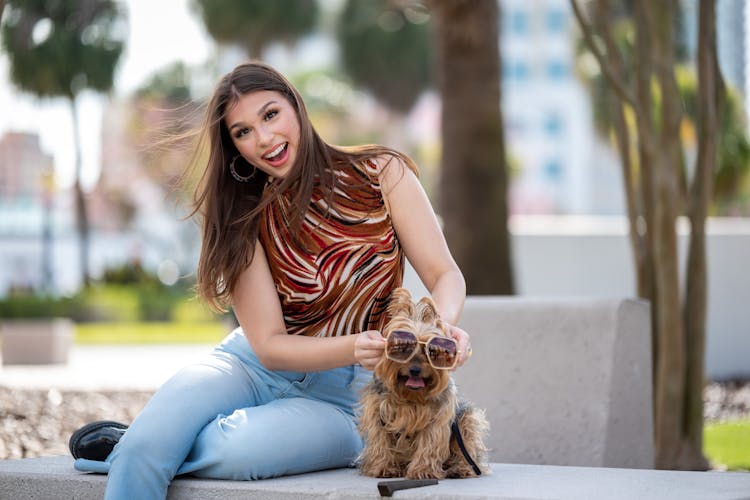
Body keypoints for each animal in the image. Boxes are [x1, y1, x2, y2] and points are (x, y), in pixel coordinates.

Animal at [360, 288, 494, 478]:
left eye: (432, 351)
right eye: (403, 347)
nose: (415, 370)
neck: (411, 396)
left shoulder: (438, 416)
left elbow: (430, 443)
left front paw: (423, 471)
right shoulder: (377, 412)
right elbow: (379, 440)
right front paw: (383, 467)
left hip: (466, 419)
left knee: (467, 445)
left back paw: (461, 468)